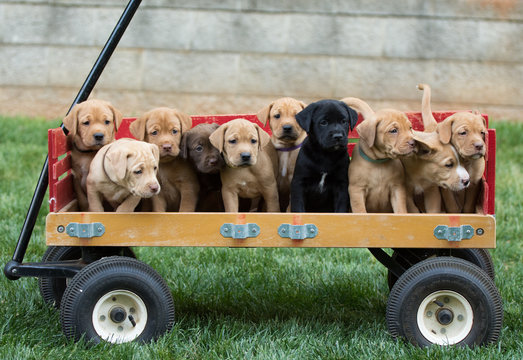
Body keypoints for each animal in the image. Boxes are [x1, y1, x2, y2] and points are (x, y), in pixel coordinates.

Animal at [418, 83, 488, 214]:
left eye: (482, 133)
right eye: (463, 133)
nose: (479, 145)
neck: (465, 161)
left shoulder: (474, 184)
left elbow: (468, 205)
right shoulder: (445, 185)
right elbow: (452, 205)